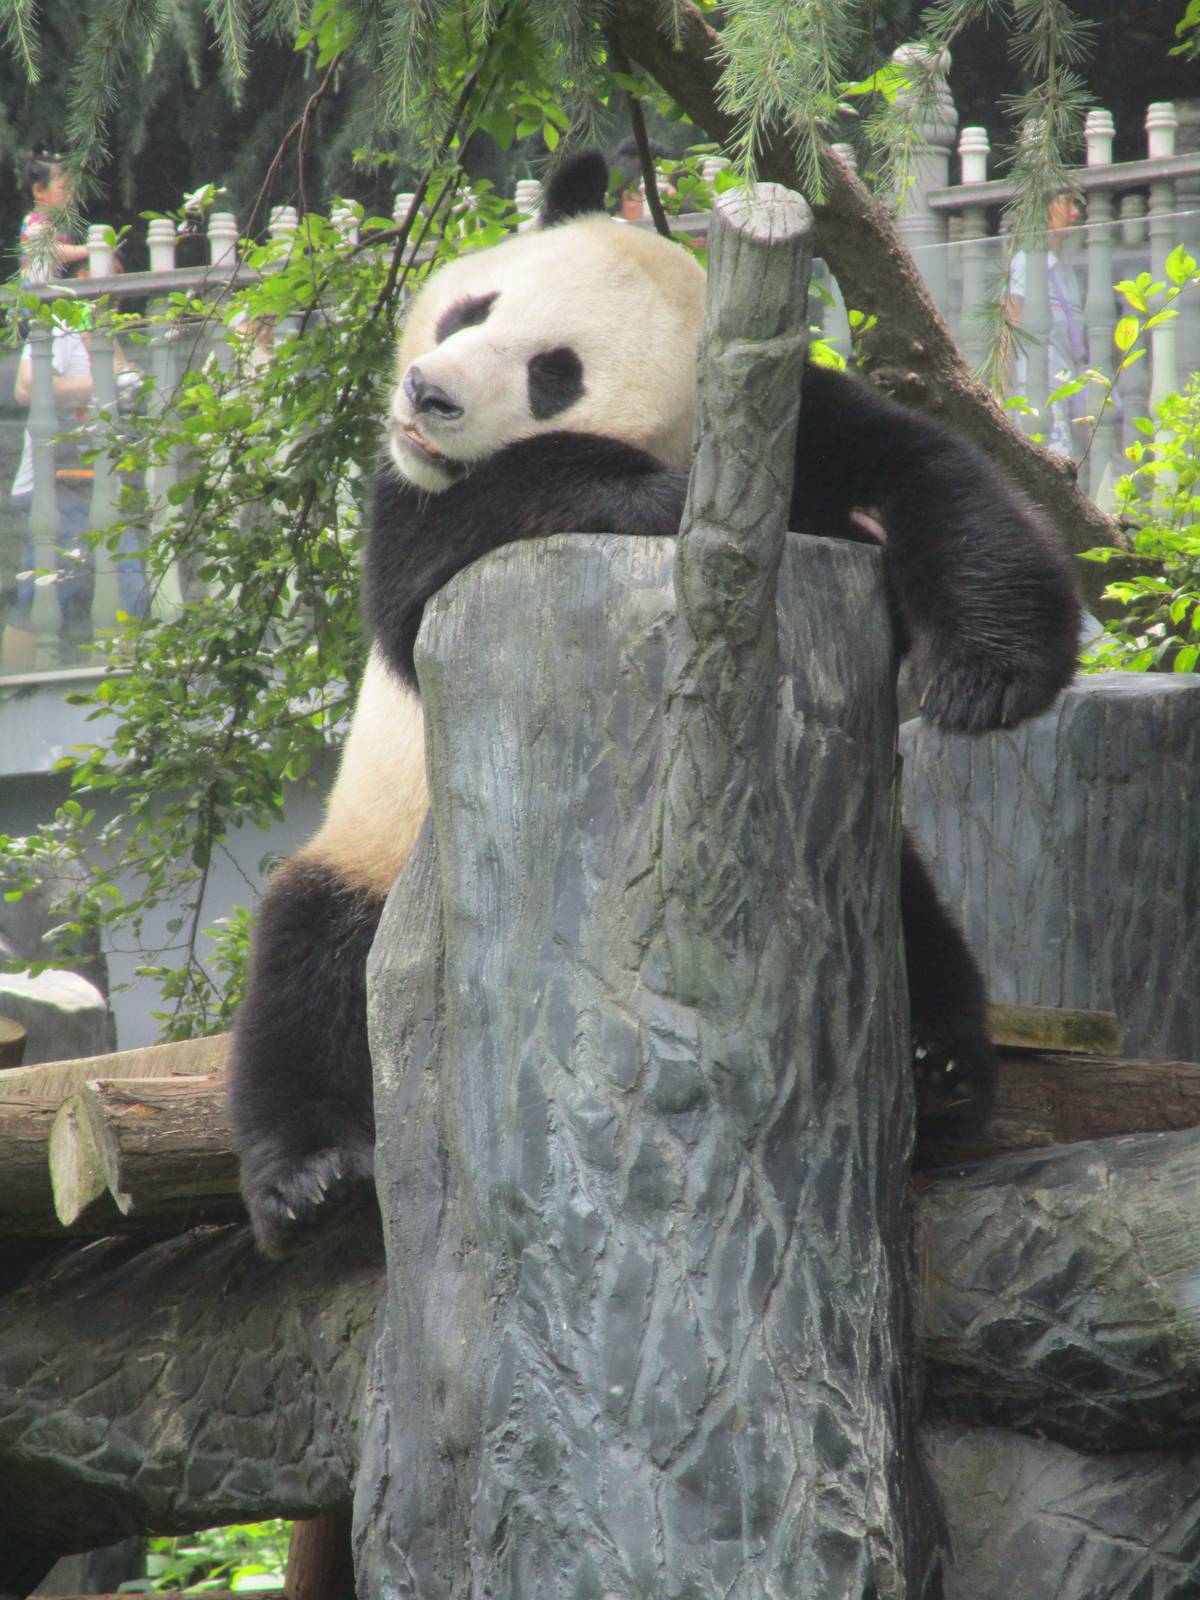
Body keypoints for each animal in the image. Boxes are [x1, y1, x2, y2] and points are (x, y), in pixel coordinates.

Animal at [229, 149, 1080, 1257]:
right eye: (472, 309)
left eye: (554, 374)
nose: (429, 391)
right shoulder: (410, 505)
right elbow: (436, 558)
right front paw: (653, 502)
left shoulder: (800, 423)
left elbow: (935, 476)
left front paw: (989, 673)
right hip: (379, 846)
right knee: (308, 969)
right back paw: (312, 1176)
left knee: (912, 917)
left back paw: (938, 1068)